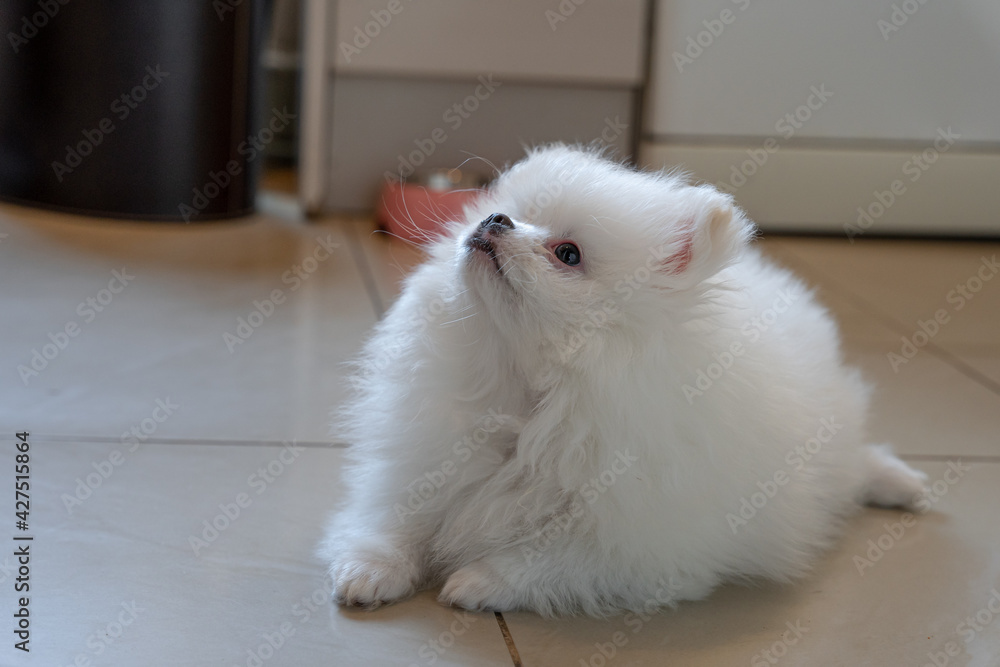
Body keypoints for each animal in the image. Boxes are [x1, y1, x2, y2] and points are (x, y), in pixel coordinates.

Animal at [322, 145, 928, 616]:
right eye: (509, 212)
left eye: (568, 254)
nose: (495, 220)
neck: (524, 396)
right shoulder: (423, 460)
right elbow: (395, 519)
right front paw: (370, 571)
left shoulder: (640, 544)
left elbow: (550, 559)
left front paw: (478, 581)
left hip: (827, 447)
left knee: (856, 464)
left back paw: (904, 485)